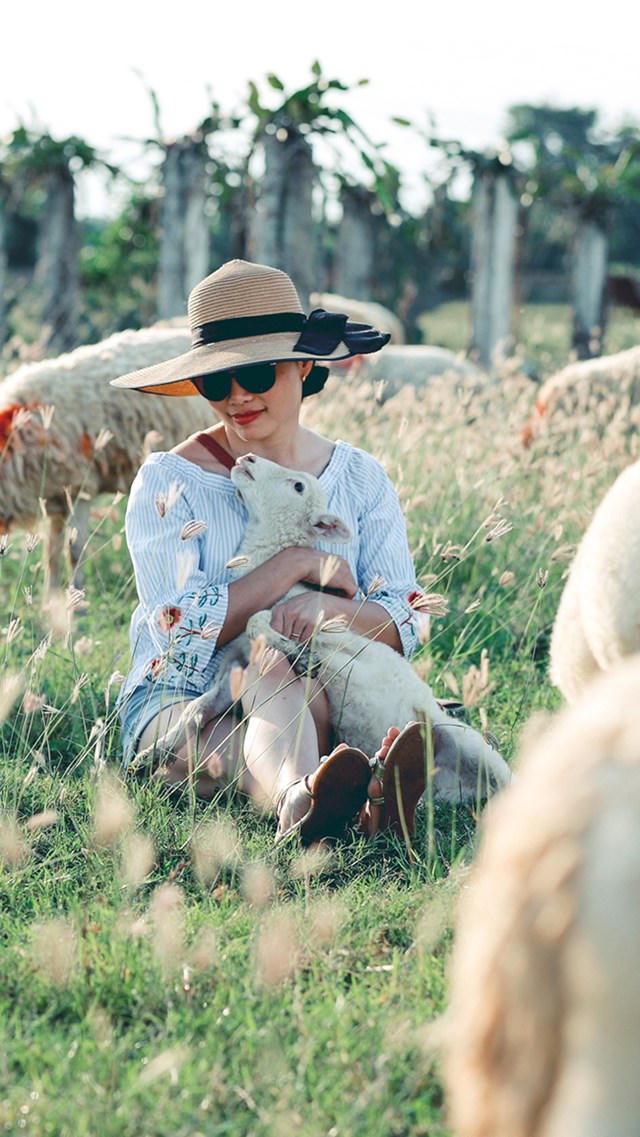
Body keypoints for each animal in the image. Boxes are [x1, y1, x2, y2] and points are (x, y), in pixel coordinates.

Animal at [0, 326, 215, 589]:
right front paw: (52, 600)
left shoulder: (80, 488)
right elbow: (52, 556)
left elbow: (74, 551)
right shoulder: (55, 494)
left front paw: (76, 599)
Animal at [146, 453, 511, 804]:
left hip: (471, 745)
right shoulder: (236, 668)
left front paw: (298, 653)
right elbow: (197, 707)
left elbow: (257, 621)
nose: (246, 458)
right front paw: (157, 751)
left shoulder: (324, 629)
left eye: (298, 486)